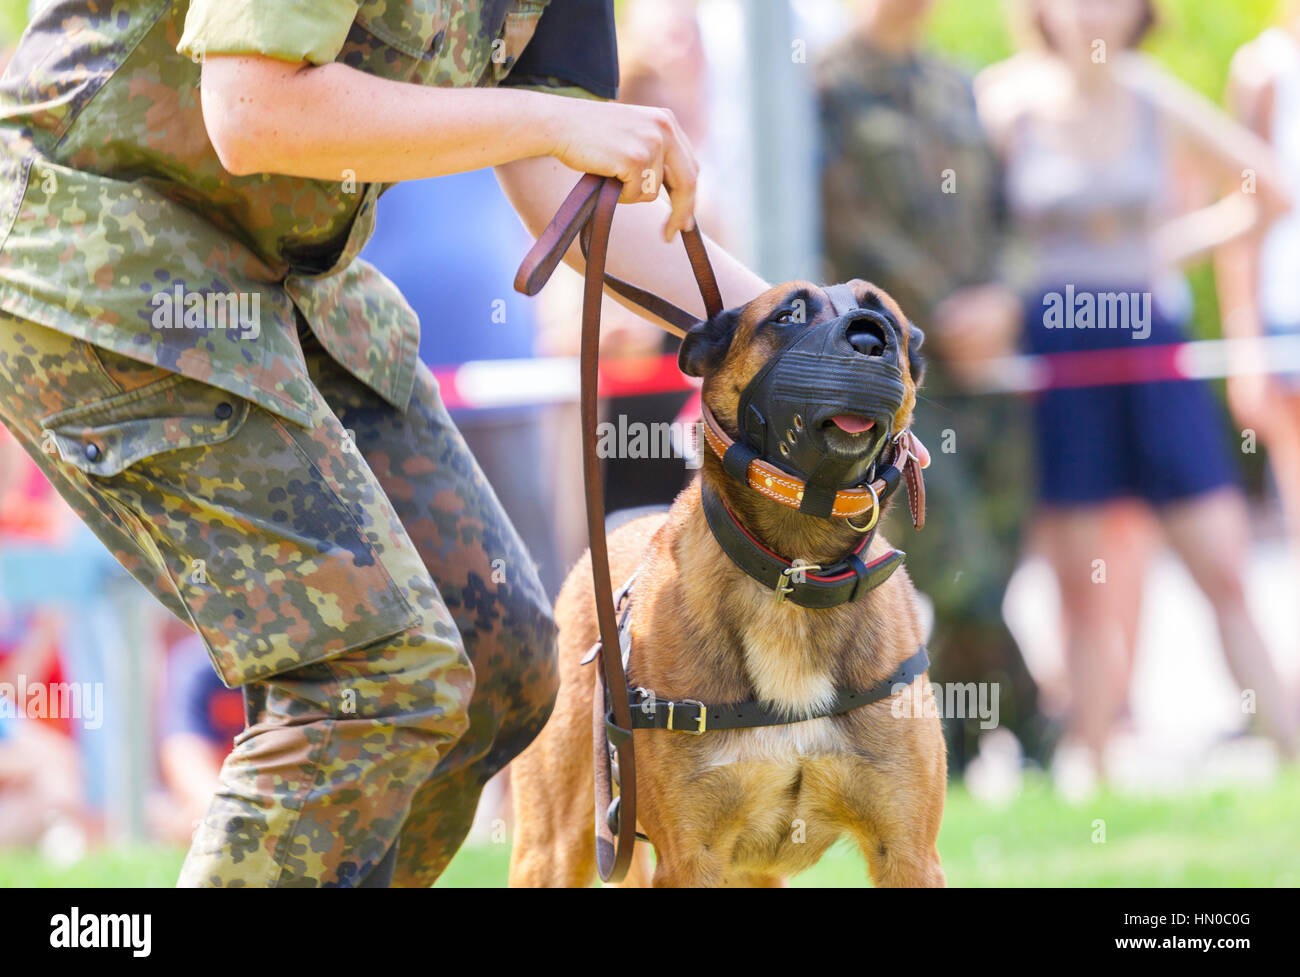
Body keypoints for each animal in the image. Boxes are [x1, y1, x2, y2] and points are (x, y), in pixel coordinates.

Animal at [506, 278, 946, 888]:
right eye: (789, 315)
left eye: (888, 322)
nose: (867, 341)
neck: (795, 571)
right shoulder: (691, 859)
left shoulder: (907, 852)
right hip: (554, 845)